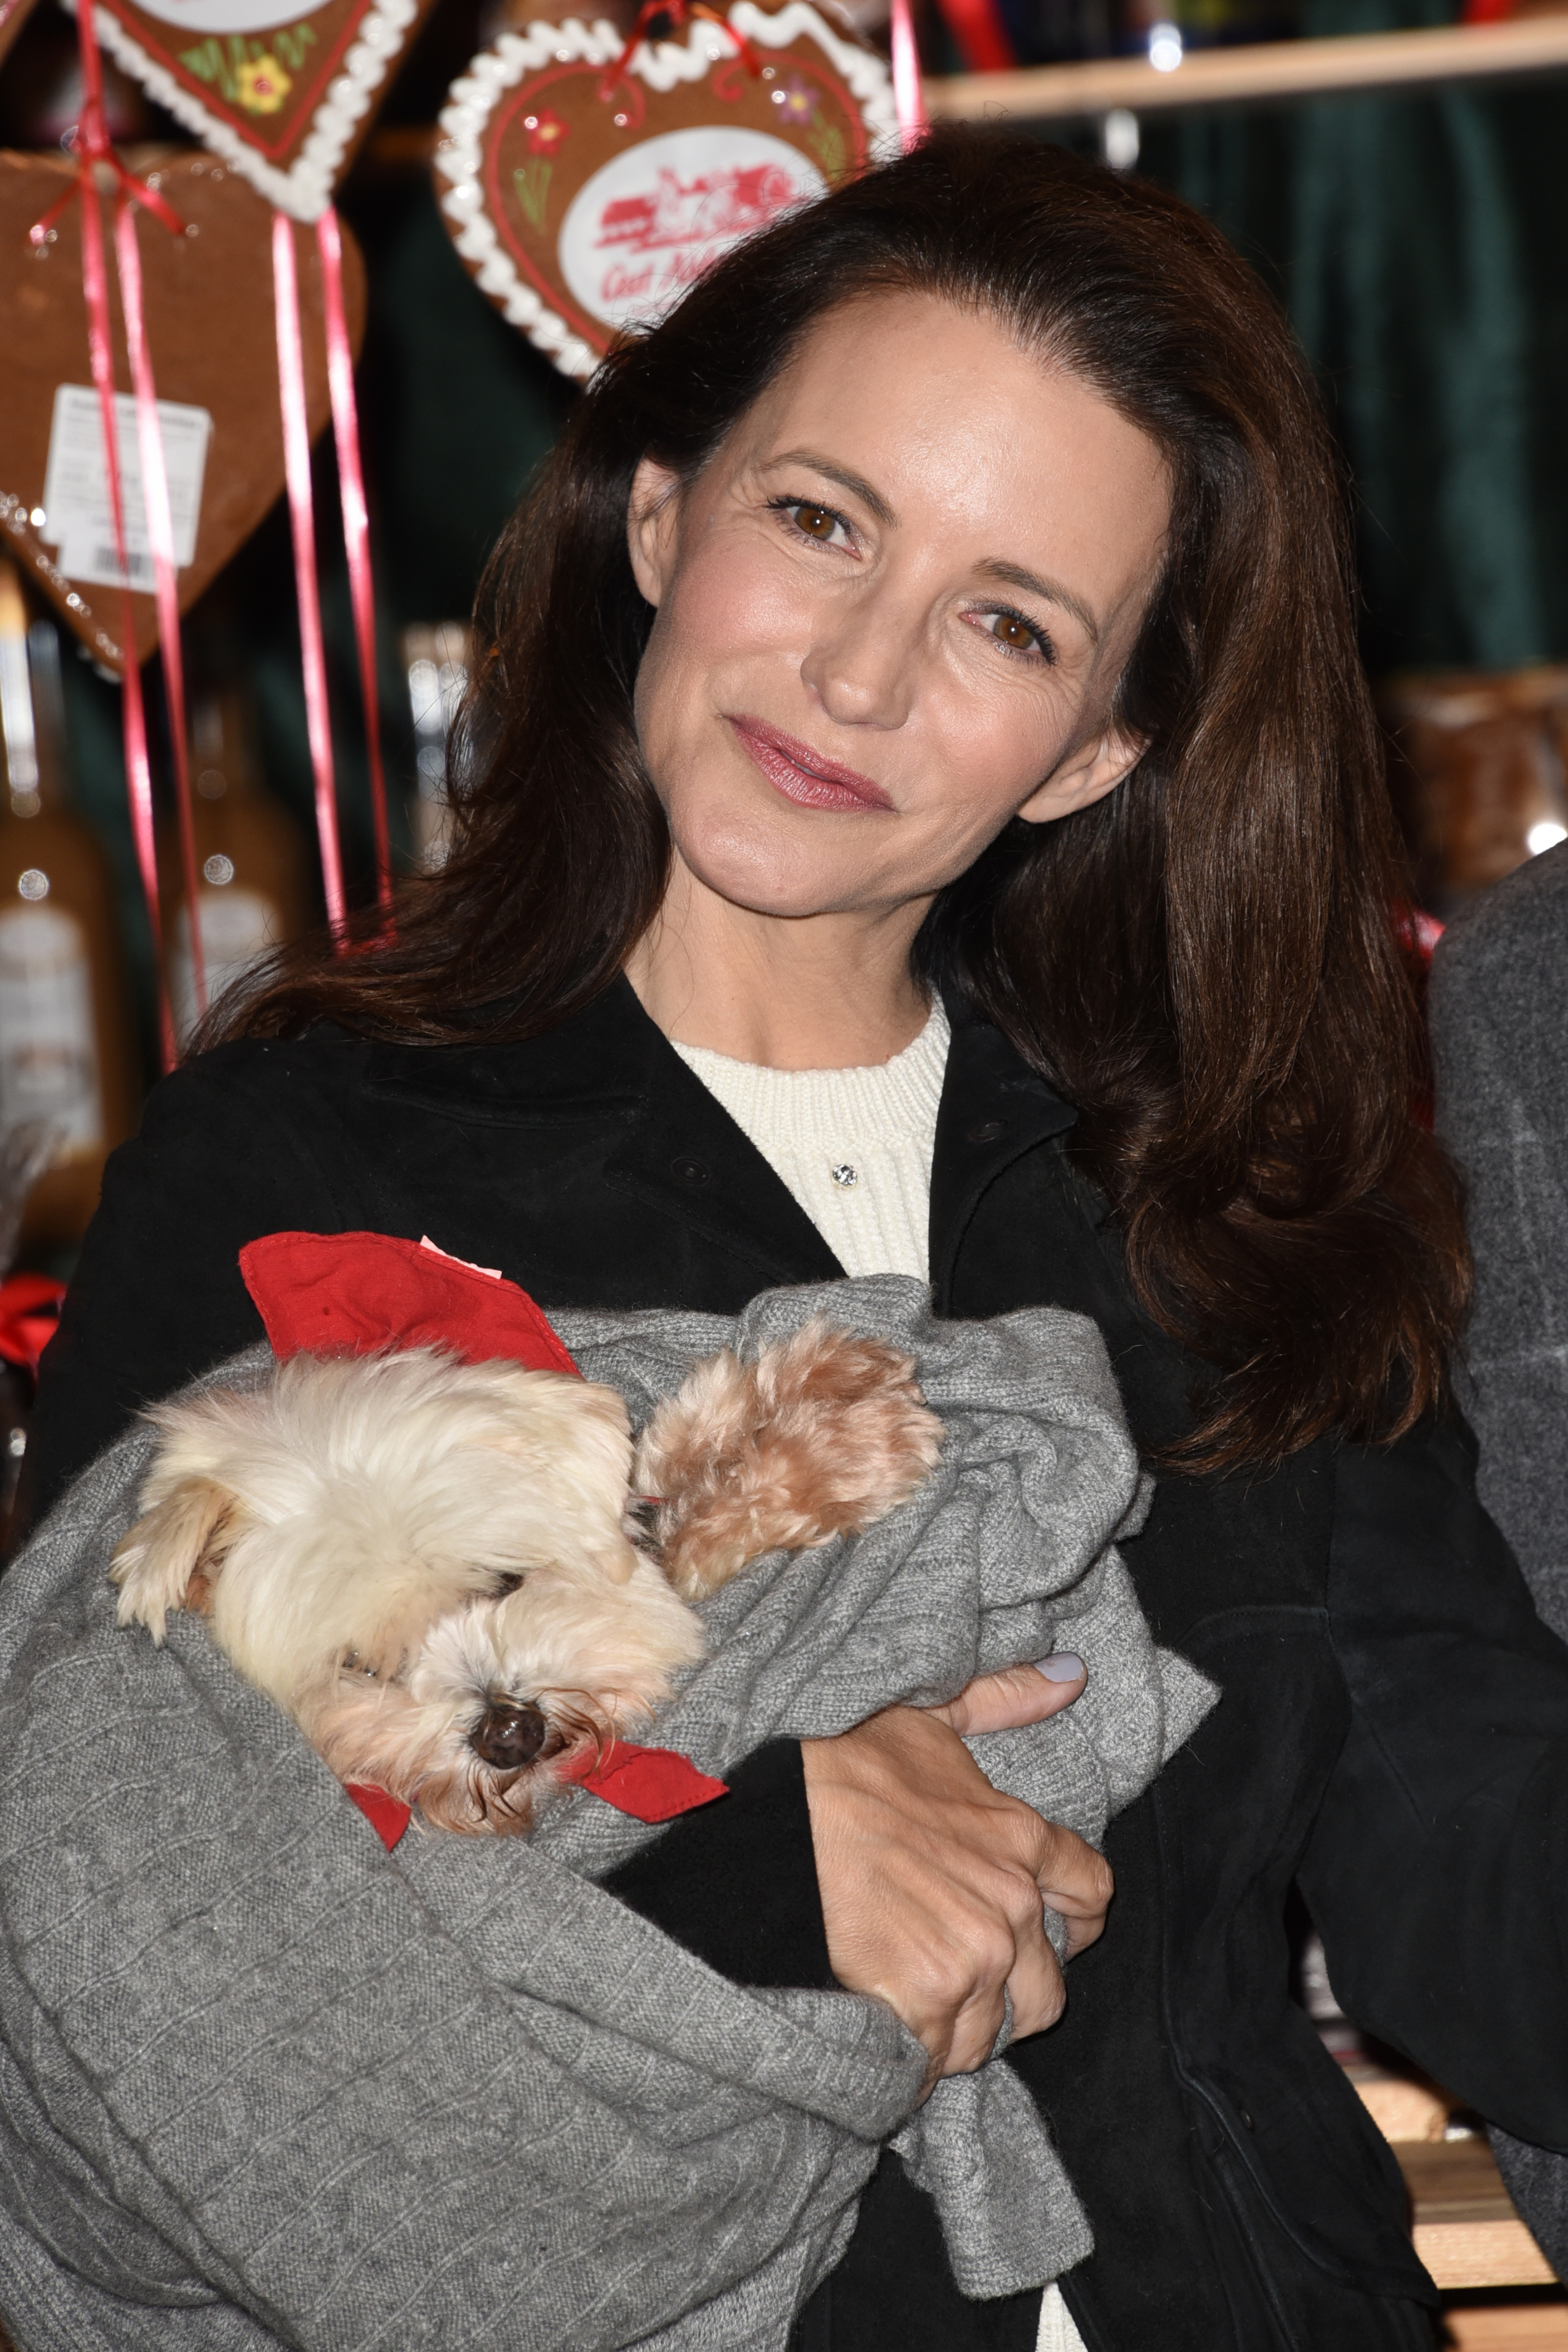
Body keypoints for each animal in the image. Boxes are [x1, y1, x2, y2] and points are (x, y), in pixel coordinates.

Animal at [116, 1326, 945, 1834]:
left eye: (503, 1581)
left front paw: (822, 1383)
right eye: (363, 1669)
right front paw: (847, 1445)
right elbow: (708, 1534)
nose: (507, 1734)